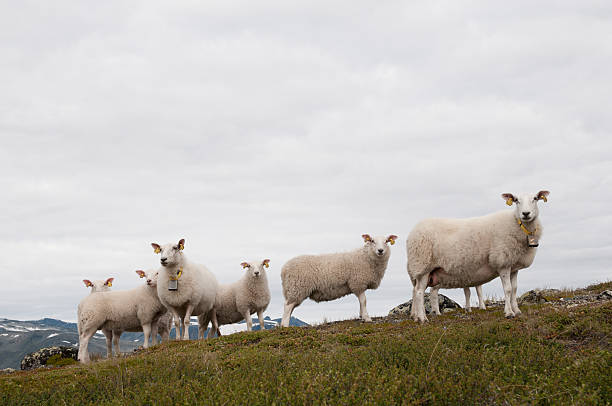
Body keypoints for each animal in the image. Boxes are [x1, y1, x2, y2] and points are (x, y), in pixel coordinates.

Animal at [408, 191, 548, 324]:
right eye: (516, 200)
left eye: (535, 198)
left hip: (426, 272)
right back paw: (423, 319)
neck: (517, 224)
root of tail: (412, 233)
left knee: (416, 291)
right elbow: (507, 290)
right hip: (422, 267)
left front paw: (517, 310)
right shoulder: (502, 262)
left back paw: (416, 317)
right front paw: (509, 312)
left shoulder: (513, 266)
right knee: (419, 292)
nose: (526, 213)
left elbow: (514, 289)